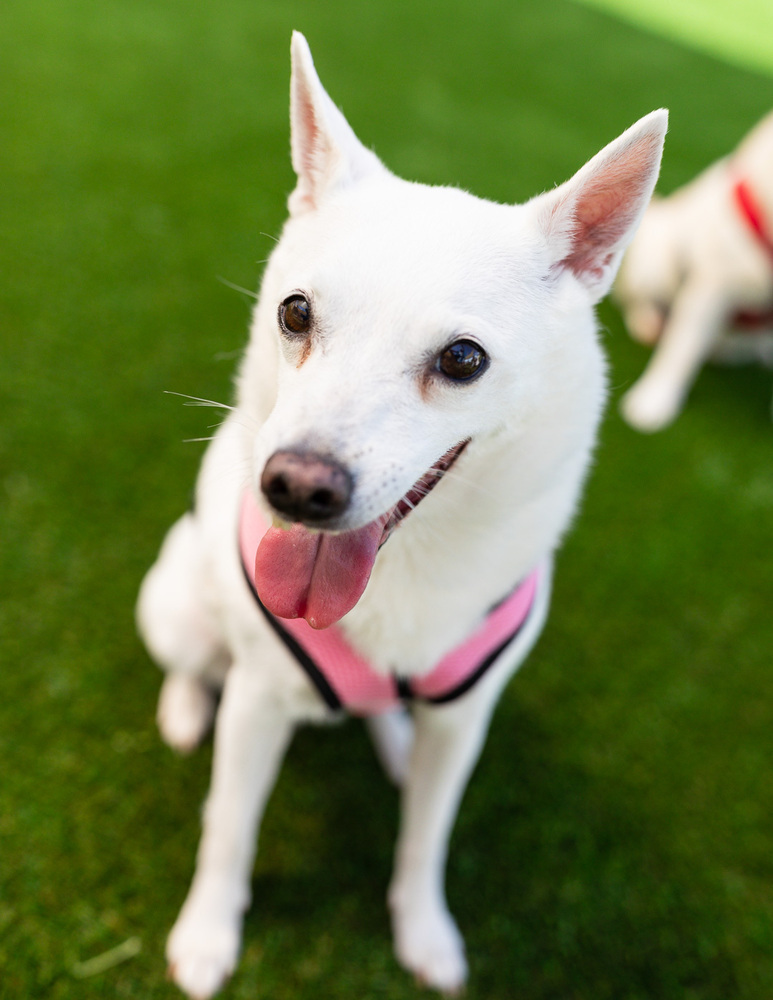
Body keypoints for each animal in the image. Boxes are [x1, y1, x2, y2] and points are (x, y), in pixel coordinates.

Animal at [136, 33, 668, 1000]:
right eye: (294, 312)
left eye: (462, 359)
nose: (295, 487)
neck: (405, 569)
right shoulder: (258, 704)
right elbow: (228, 829)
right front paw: (206, 935)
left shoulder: (464, 723)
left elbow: (427, 841)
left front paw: (423, 931)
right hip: (178, 608)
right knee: (196, 664)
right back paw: (187, 708)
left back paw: (387, 734)